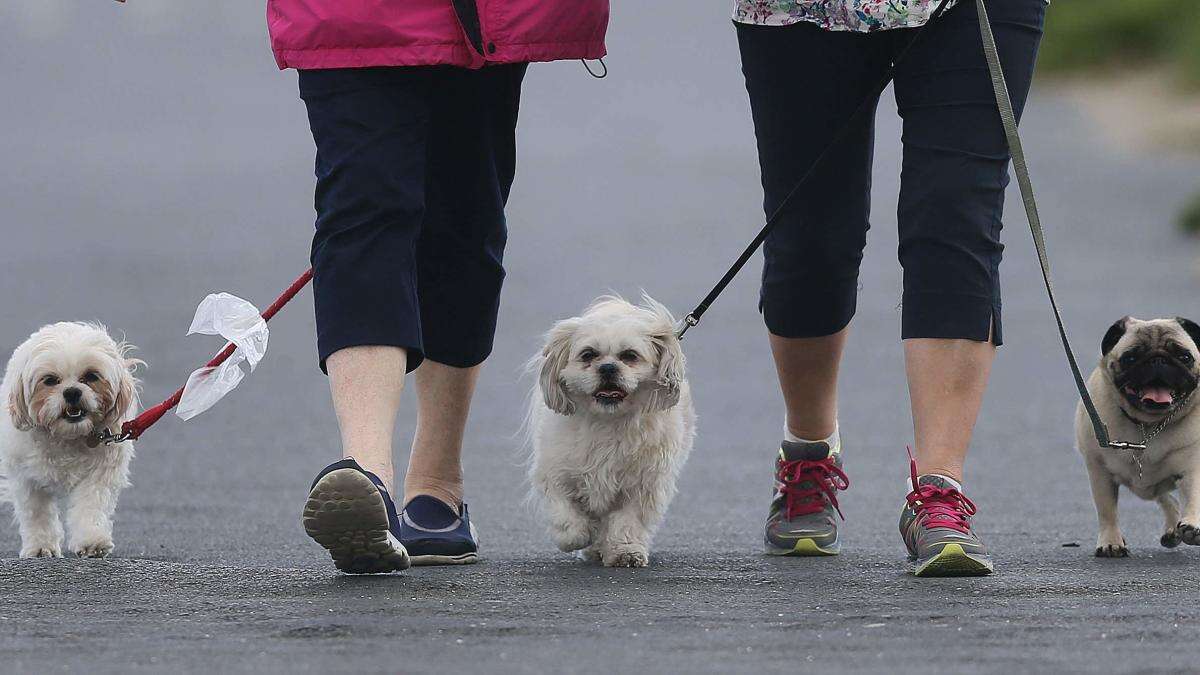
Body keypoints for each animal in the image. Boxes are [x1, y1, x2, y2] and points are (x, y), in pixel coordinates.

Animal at [0, 321, 141, 557]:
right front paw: (40, 546)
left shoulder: (99, 472)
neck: (67, 435)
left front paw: (92, 540)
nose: (72, 392)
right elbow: (37, 513)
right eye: (50, 380)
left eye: (91, 376)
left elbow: (90, 505)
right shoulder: (26, 478)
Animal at [528, 296, 696, 564]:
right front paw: (575, 537)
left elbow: (626, 521)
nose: (607, 367)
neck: (608, 421)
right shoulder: (556, 474)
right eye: (588, 354)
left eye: (630, 355)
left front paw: (624, 551)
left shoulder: (642, 486)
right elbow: (565, 512)